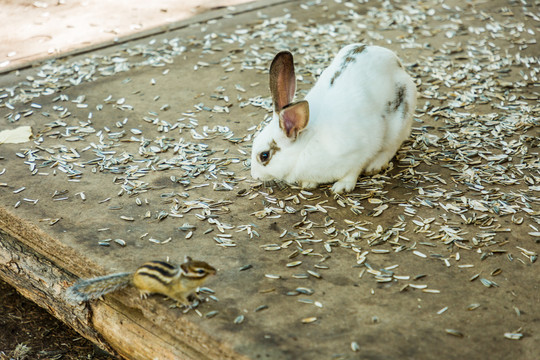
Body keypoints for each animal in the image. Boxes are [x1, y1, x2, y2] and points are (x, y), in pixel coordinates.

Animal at [250, 43, 418, 193]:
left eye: (264, 156)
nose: (254, 176)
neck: (305, 146)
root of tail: (395, 61)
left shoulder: (361, 150)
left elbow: (353, 170)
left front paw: (342, 187)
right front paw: (308, 183)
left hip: (399, 122)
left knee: (392, 146)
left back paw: (375, 165)